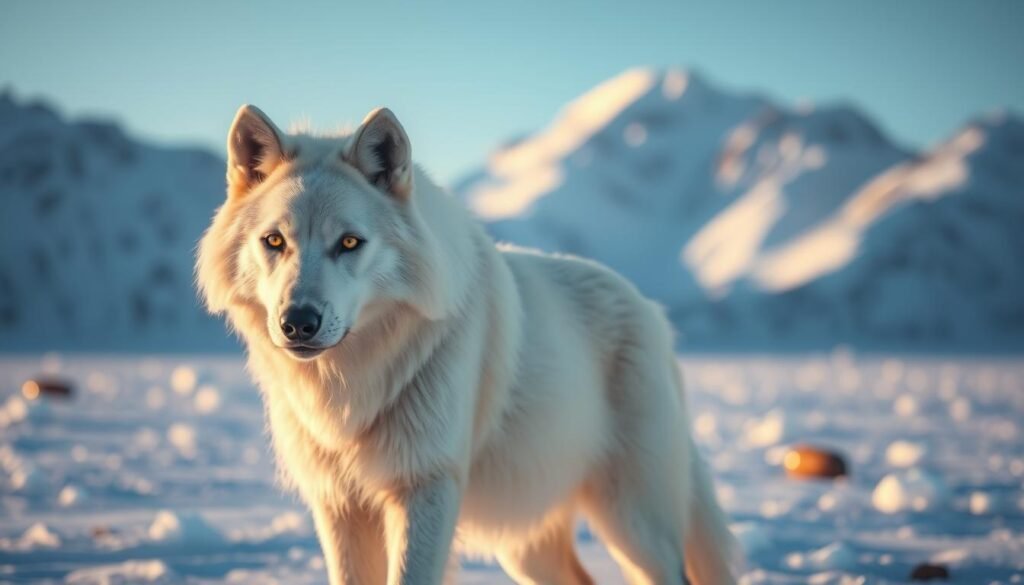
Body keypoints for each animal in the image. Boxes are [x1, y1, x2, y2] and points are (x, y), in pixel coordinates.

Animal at [196, 104, 737, 585]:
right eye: (274, 241)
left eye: (349, 242)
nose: (298, 323)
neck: (355, 382)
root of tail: (652, 312)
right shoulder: (338, 504)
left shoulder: (426, 487)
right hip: (526, 547)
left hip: (633, 523)